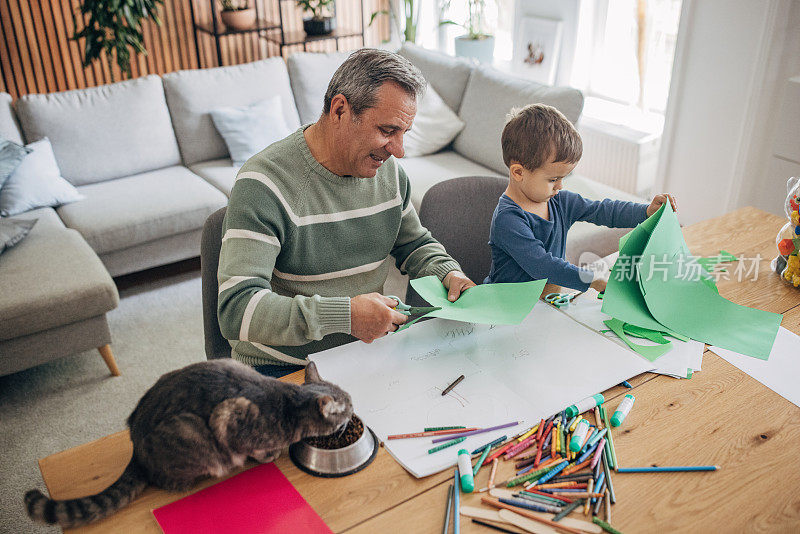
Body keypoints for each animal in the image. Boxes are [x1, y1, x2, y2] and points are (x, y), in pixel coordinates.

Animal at [25, 360, 352, 532]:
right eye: (348, 408)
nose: (353, 411)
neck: (289, 404)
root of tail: (135, 447)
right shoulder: (229, 419)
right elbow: (256, 449)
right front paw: (269, 455)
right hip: (190, 431)